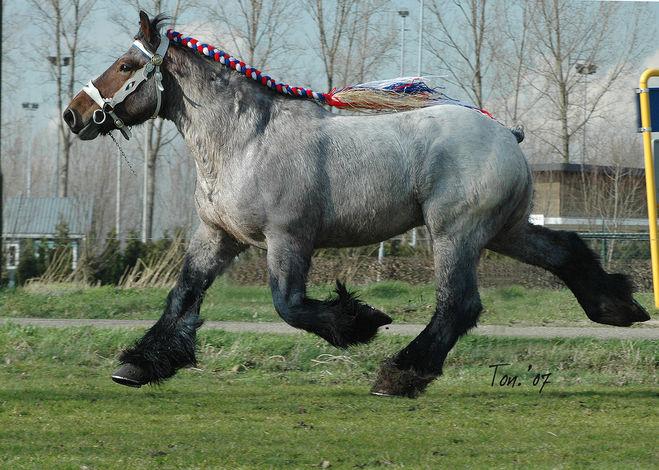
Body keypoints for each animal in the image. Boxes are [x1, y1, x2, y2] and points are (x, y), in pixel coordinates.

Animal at [64, 12, 648, 398]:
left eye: (124, 65)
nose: (73, 115)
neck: (245, 141)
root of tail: (507, 134)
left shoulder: (288, 237)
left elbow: (290, 305)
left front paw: (360, 322)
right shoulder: (217, 235)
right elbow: (183, 295)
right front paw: (140, 364)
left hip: (455, 233)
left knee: (458, 304)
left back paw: (400, 373)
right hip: (506, 231)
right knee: (566, 250)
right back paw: (619, 307)